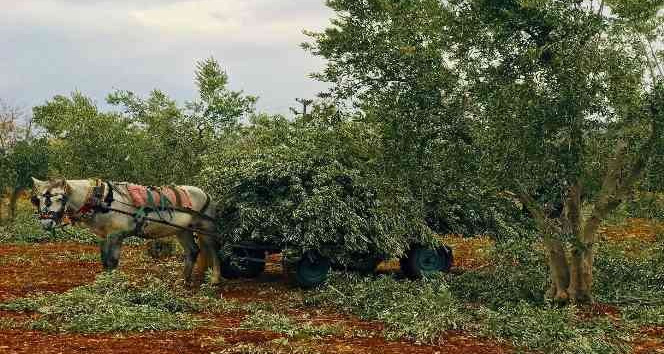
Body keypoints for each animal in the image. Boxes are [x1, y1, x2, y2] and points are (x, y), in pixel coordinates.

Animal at [31, 177, 222, 284]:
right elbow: (104, 261)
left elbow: (113, 261)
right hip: (182, 231)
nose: (46, 223)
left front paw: (113, 284)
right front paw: (104, 282)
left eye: (59, 198)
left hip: (206, 228)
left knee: (213, 250)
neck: (102, 200)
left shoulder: (117, 235)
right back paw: (184, 280)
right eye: (38, 199)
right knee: (193, 251)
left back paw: (215, 279)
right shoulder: (103, 236)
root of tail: (206, 193)